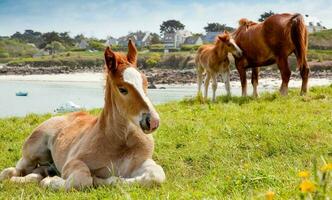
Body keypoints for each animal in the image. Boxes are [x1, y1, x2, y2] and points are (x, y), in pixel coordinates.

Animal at [0, 39, 166, 191]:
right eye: (122, 89)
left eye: (145, 83)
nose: (153, 121)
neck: (120, 141)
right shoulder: (72, 163)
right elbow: (83, 179)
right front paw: (50, 182)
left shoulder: (142, 162)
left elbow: (156, 175)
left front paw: (102, 180)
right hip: (33, 153)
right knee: (12, 171)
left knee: (37, 171)